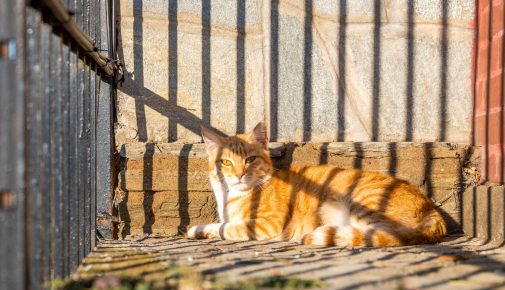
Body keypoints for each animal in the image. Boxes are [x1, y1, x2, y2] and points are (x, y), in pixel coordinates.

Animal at [188, 122, 444, 247]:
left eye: (250, 160)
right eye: (226, 162)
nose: (239, 175)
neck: (231, 197)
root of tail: (432, 210)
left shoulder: (267, 224)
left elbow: (228, 227)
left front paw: (203, 230)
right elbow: (220, 224)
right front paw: (199, 230)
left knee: (387, 236)